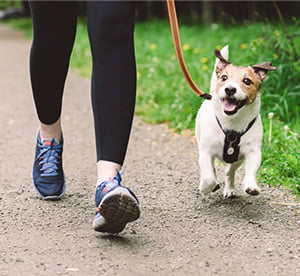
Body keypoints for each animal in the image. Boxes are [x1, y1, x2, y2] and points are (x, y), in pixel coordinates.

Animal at [195, 46, 276, 197]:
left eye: (247, 81)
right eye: (224, 78)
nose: (230, 89)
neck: (232, 123)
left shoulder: (253, 152)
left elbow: (251, 170)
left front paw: (251, 186)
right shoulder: (205, 151)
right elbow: (208, 176)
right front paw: (206, 187)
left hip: (237, 159)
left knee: (229, 171)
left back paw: (229, 188)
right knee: (212, 170)